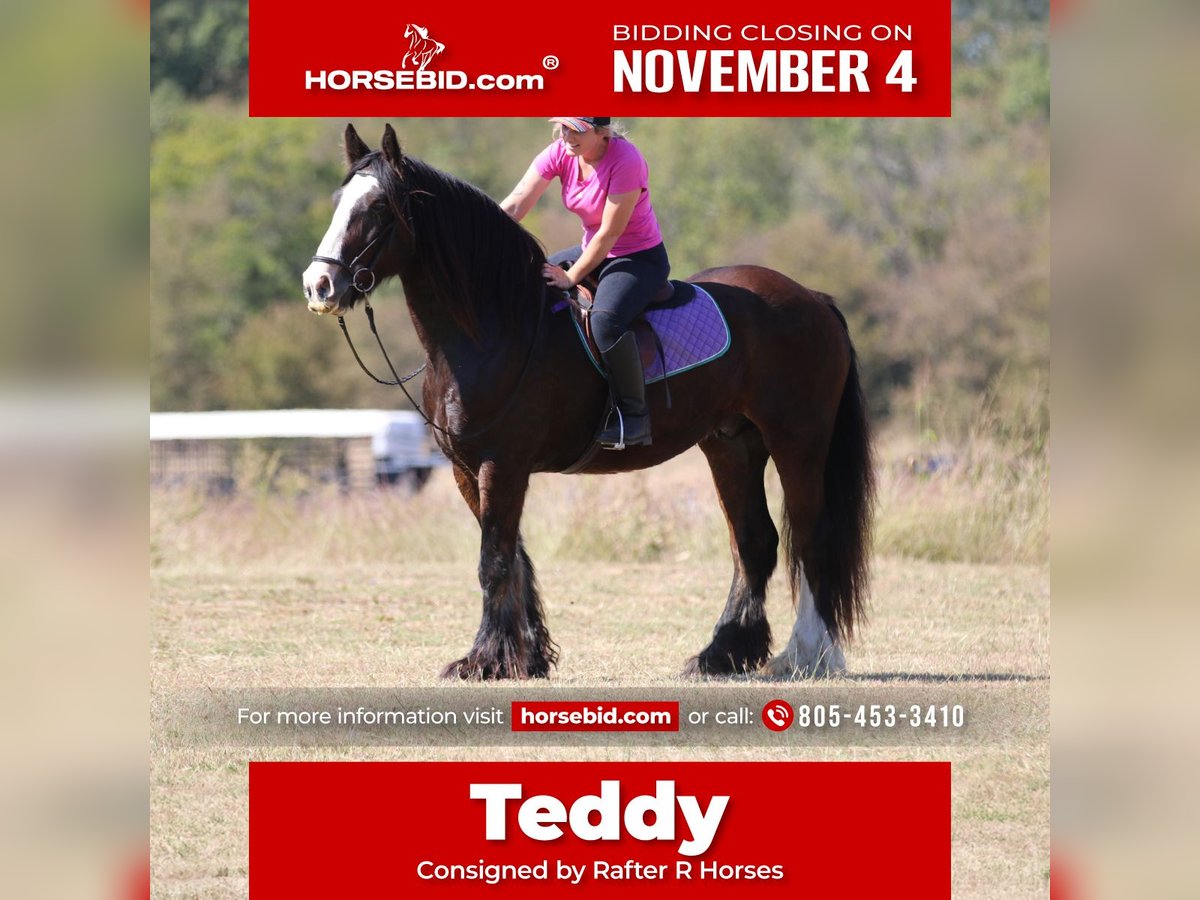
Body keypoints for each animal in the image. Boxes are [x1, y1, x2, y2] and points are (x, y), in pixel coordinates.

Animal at [304, 123, 878, 681]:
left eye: (379, 207)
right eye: (338, 201)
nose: (319, 285)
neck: (496, 328)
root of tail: (812, 298)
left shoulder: (502, 465)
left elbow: (494, 561)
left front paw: (485, 659)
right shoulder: (468, 470)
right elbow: (513, 557)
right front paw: (525, 658)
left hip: (798, 443)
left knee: (811, 537)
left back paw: (809, 654)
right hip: (731, 445)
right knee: (754, 542)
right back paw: (724, 653)